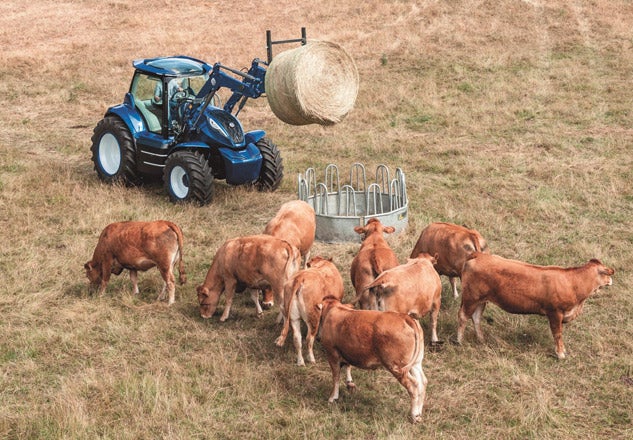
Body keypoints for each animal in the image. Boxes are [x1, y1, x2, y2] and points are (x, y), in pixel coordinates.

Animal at [456, 253, 616, 360]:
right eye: (607, 272)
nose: (611, 280)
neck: (573, 283)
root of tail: (479, 255)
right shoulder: (555, 313)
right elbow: (557, 334)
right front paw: (560, 354)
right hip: (471, 298)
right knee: (463, 316)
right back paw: (459, 341)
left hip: (481, 300)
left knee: (476, 318)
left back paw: (481, 339)